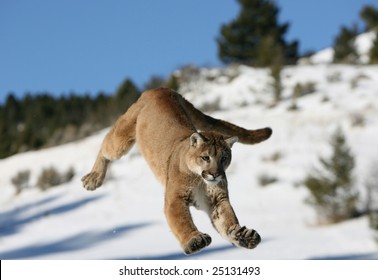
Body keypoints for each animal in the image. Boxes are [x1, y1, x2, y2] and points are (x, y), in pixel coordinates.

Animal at [82, 87, 272, 254]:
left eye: (224, 158)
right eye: (206, 157)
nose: (215, 174)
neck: (200, 180)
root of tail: (161, 89)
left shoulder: (217, 200)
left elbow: (227, 219)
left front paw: (242, 235)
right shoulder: (175, 198)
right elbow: (182, 221)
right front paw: (194, 240)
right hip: (122, 137)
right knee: (106, 145)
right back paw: (93, 179)